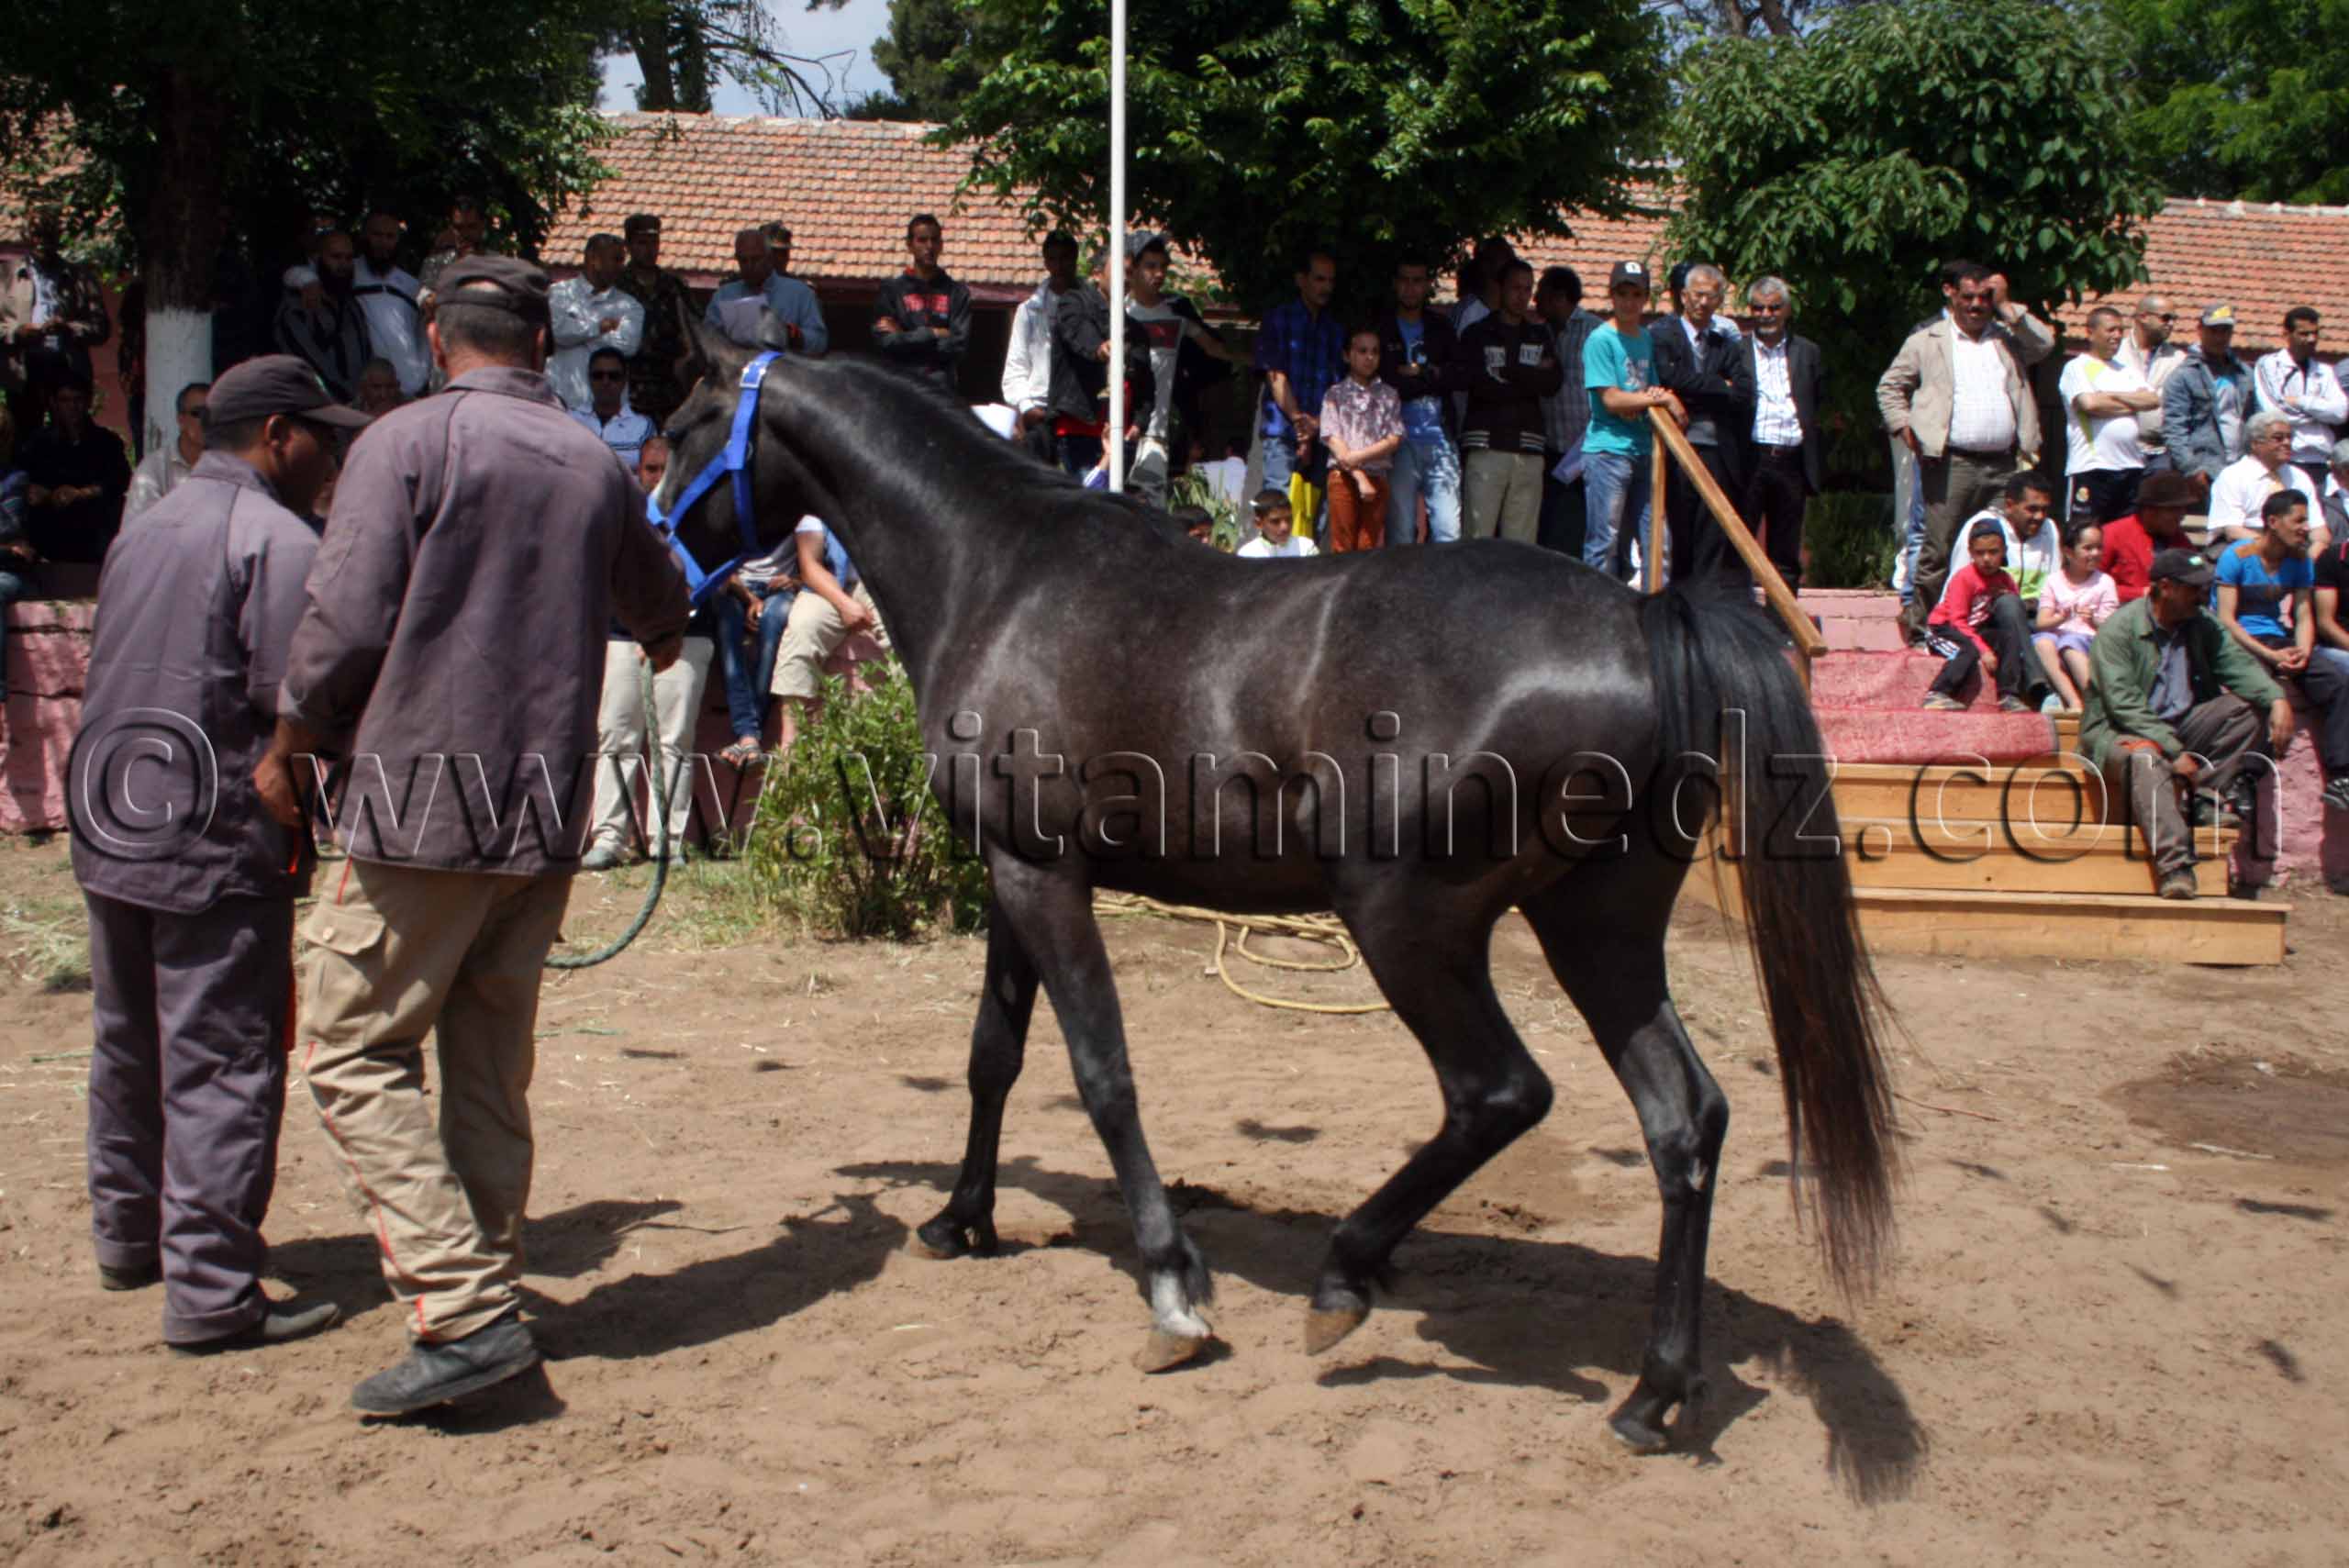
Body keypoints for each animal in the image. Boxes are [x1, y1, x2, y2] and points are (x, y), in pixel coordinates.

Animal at [656, 337, 1898, 1453]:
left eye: (680, 426)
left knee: (1499, 1091)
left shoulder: (1044, 875)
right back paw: (1654, 1392)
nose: (661, 570)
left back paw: (1347, 1274)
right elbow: (992, 1054)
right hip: (1598, 929)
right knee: (1682, 1118)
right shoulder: (1009, 872)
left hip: (1408, 922)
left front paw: (1172, 1289)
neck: (1001, 574)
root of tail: (1639, 622)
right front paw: (962, 1218)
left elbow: (1100, 1073)